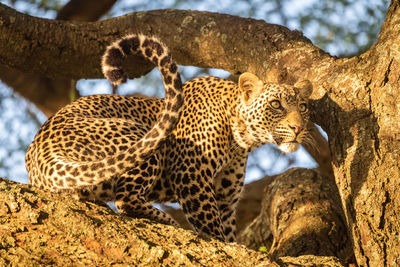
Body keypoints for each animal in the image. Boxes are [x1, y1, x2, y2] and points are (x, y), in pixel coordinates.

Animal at [25, 33, 316, 243]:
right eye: (276, 104)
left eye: (303, 107)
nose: (298, 128)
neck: (241, 139)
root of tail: (42, 151)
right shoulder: (192, 176)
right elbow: (213, 228)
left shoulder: (226, 199)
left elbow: (228, 231)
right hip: (143, 141)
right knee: (125, 197)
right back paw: (168, 221)